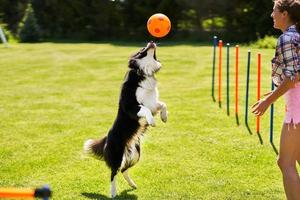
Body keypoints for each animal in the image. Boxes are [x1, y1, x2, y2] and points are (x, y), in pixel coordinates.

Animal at [84, 41, 168, 198]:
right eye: (142, 49)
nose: (151, 41)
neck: (143, 72)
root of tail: (106, 139)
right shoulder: (131, 107)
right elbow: (145, 109)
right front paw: (152, 122)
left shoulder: (153, 103)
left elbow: (163, 104)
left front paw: (164, 117)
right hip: (117, 155)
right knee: (113, 173)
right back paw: (113, 193)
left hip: (135, 154)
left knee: (123, 170)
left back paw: (132, 185)